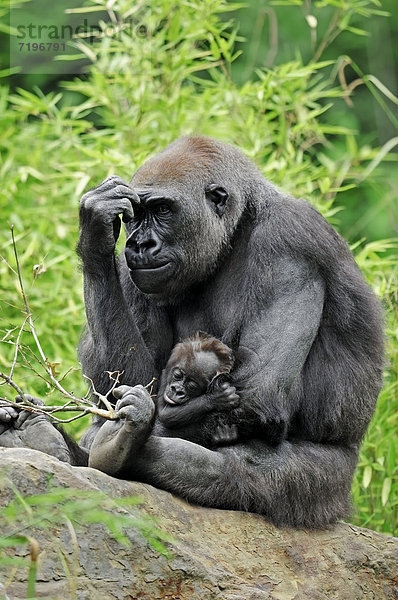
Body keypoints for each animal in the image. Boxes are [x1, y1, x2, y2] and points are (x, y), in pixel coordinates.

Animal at [0, 135, 386, 524]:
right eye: (135, 216)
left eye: (163, 210)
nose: (140, 244)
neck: (238, 227)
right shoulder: (132, 269)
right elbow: (124, 383)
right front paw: (96, 231)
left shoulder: (291, 239)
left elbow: (257, 396)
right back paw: (45, 439)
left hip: (331, 489)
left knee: (232, 468)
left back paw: (115, 443)